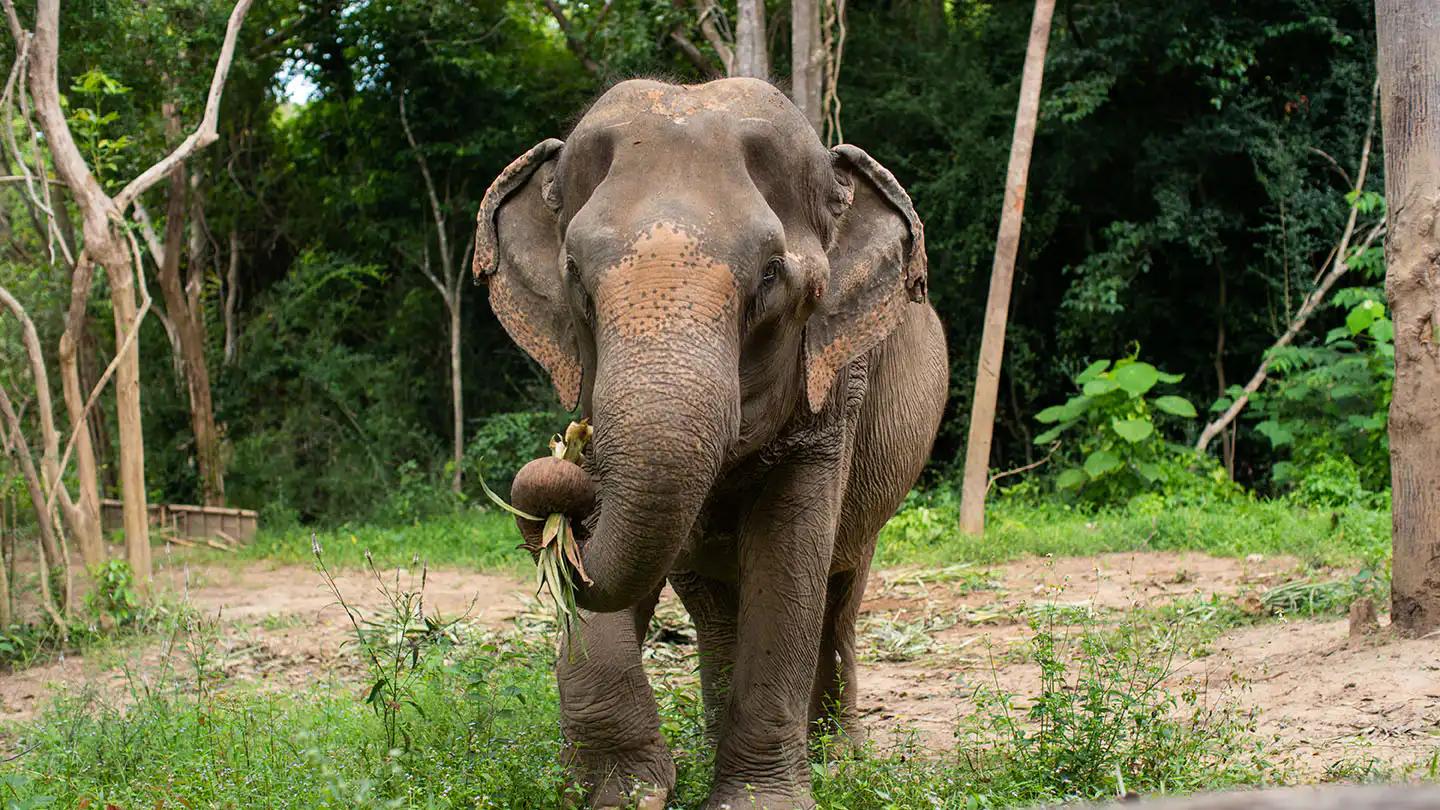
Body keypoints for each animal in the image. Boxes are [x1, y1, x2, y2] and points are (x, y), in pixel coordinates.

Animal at [473, 77, 948, 810]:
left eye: (771, 275)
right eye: (575, 273)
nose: (562, 464)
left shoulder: (835, 393)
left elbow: (788, 560)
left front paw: (758, 801)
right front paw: (622, 791)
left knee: (840, 592)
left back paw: (837, 756)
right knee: (713, 603)